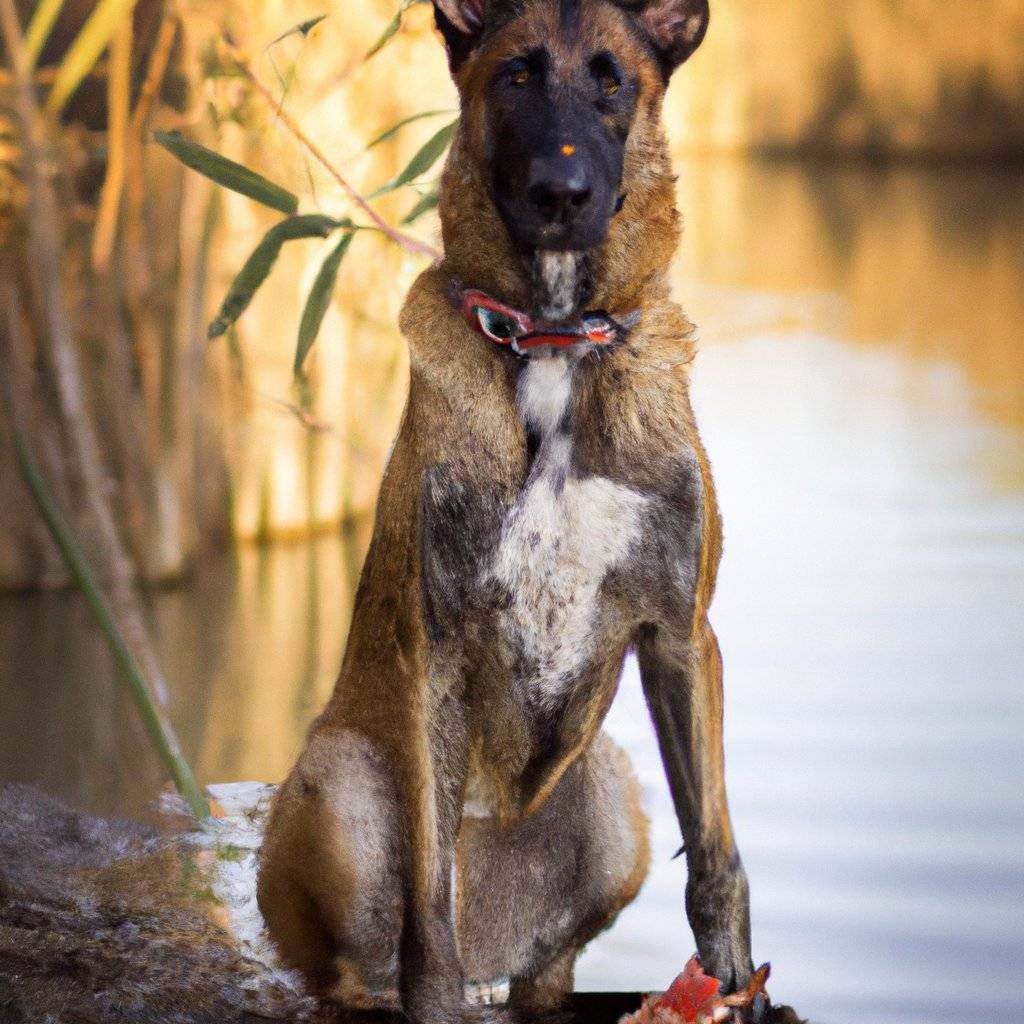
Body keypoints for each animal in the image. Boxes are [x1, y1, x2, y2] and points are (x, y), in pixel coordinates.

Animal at [253, 0, 761, 1019]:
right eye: (516, 76)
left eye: (612, 81)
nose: (561, 192)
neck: (555, 346)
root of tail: (499, 937)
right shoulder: (436, 654)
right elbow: (427, 896)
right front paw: (433, 997)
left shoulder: (683, 639)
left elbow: (716, 856)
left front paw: (734, 988)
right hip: (341, 786)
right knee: (363, 956)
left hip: (612, 797)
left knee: (550, 969)